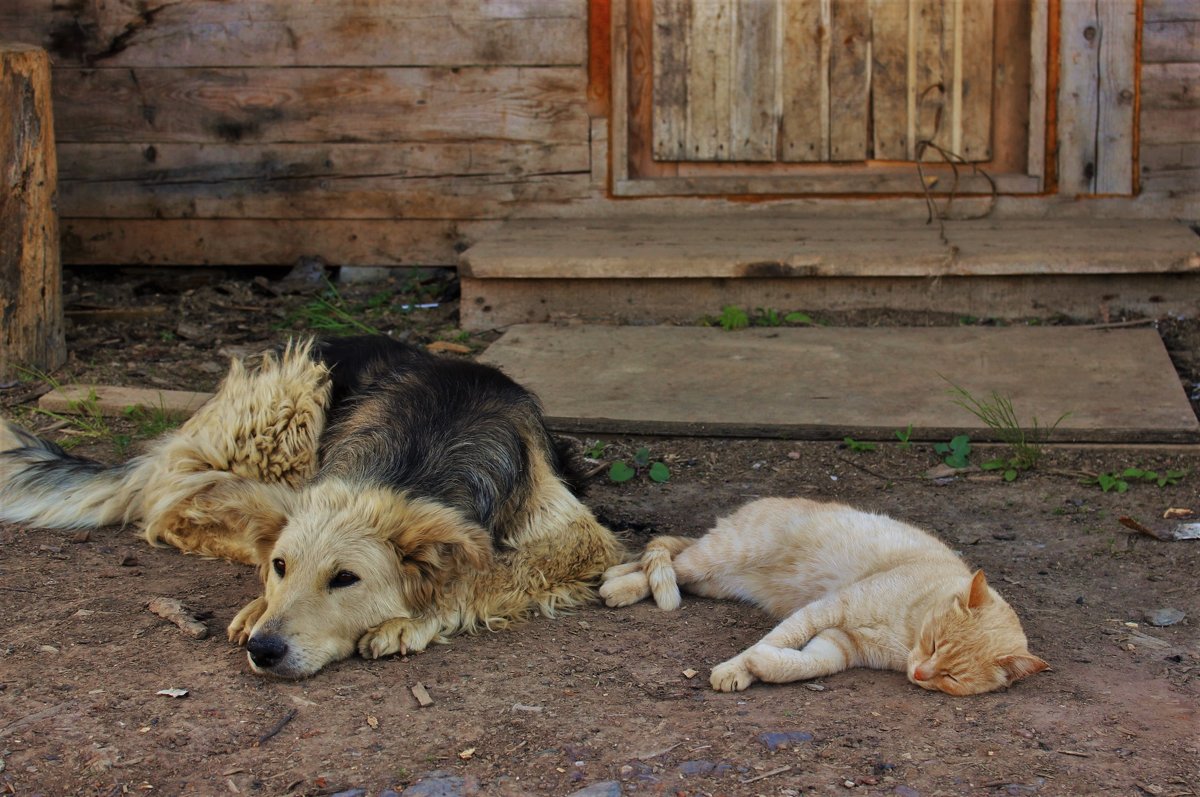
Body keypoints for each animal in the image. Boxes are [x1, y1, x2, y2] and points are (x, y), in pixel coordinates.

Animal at [0, 333, 619, 676]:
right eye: (282, 567)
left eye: (345, 579)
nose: (264, 648)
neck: (422, 446)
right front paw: (257, 601)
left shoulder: (580, 539)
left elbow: (484, 571)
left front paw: (415, 615)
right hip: (294, 395)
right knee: (171, 504)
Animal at [604, 499, 1046, 696]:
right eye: (934, 643)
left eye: (952, 678)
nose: (921, 675)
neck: (906, 635)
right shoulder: (827, 609)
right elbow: (777, 637)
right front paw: (738, 666)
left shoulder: (839, 645)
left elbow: (801, 663)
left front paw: (760, 665)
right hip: (719, 556)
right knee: (663, 560)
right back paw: (615, 583)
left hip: (714, 580)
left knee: (667, 560)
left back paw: (615, 577)